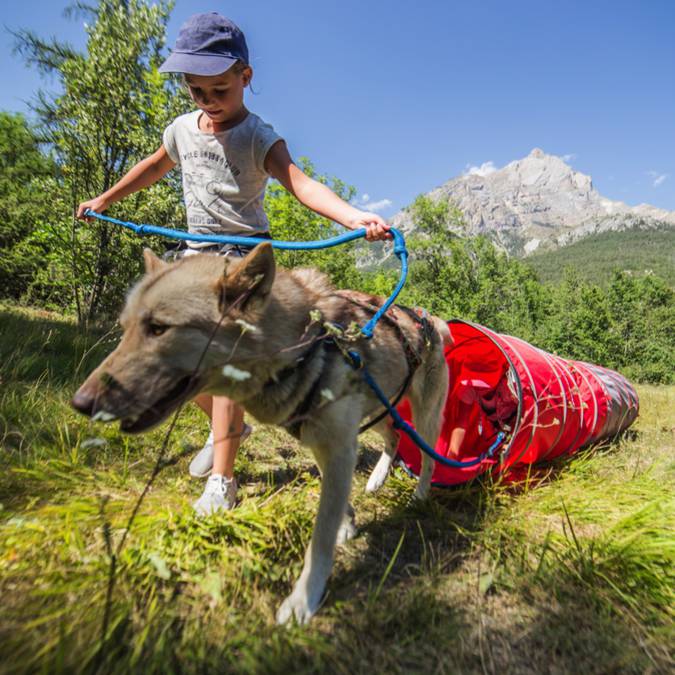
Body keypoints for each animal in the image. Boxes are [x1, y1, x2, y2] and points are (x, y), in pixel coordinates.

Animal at [72, 246, 448, 624]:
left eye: (158, 328)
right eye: (125, 328)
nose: (81, 403)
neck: (304, 346)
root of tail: (430, 319)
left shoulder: (339, 444)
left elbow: (320, 537)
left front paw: (303, 600)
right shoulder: (326, 443)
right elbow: (335, 502)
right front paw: (347, 522)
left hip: (424, 416)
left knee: (427, 456)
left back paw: (419, 496)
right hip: (381, 408)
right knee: (395, 437)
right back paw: (377, 478)